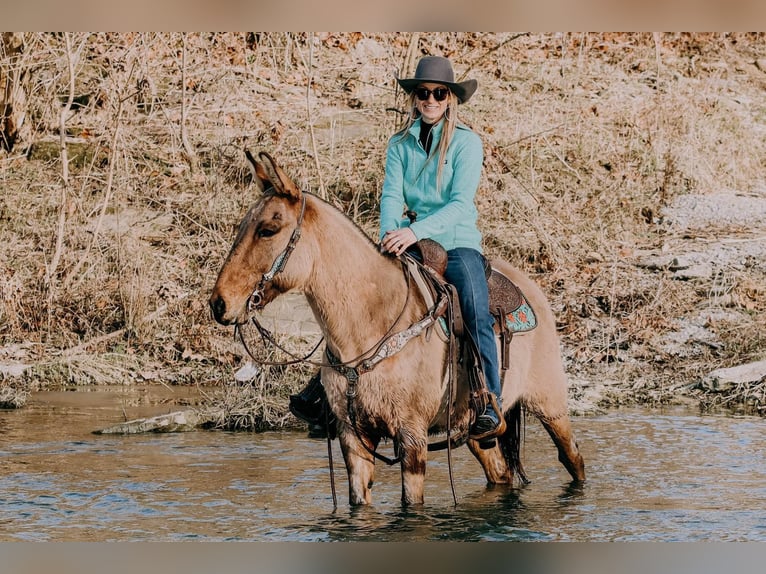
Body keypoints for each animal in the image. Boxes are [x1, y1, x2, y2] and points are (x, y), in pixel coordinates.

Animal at [210, 151, 588, 506]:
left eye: (268, 230)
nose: (219, 303)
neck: (371, 323)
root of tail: (531, 287)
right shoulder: (353, 439)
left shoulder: (411, 438)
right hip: (474, 434)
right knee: (500, 472)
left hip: (551, 406)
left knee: (573, 457)